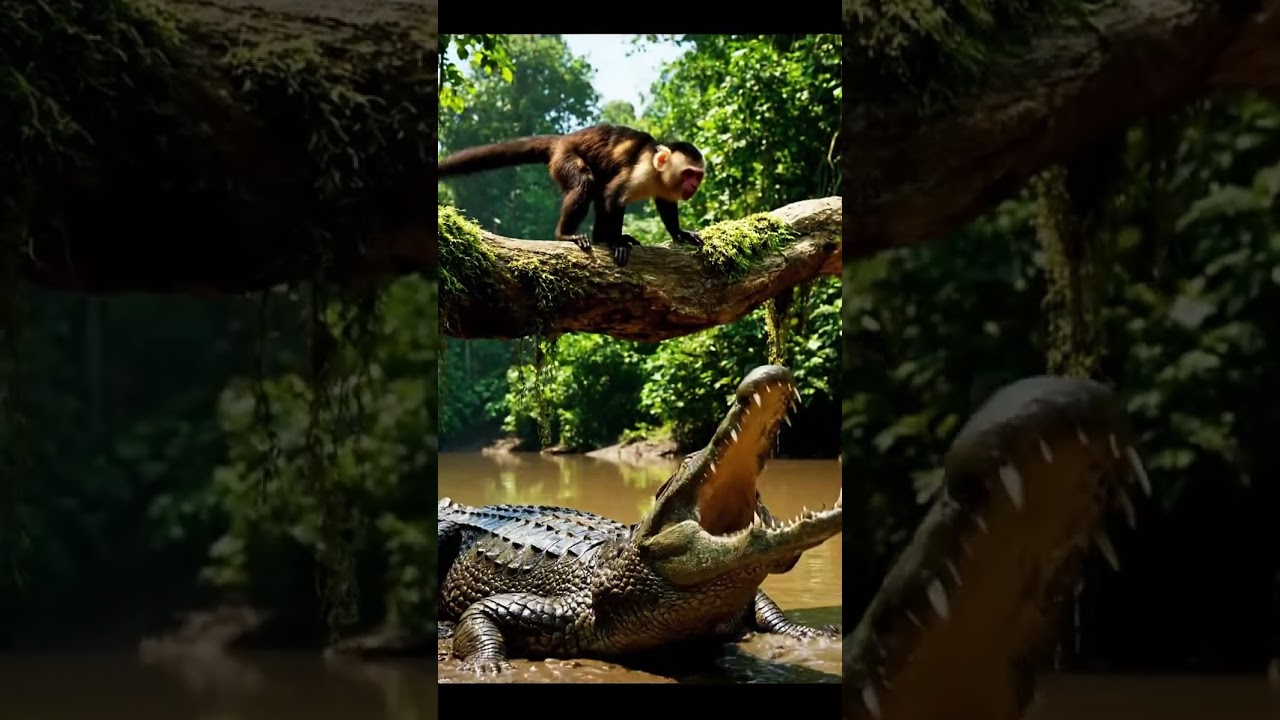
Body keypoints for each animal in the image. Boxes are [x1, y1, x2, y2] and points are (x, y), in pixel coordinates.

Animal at [438, 124, 706, 267]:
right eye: (688, 173)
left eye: (698, 175)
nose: (693, 185)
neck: (657, 174)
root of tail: (563, 139)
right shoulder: (641, 171)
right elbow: (613, 196)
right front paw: (614, 241)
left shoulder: (666, 187)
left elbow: (666, 204)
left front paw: (680, 233)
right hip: (564, 158)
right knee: (585, 183)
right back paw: (567, 235)